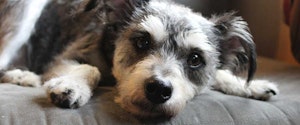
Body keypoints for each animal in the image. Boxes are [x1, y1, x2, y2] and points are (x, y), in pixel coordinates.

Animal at [0, 0, 278, 117]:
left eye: (195, 59)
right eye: (142, 41)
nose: (158, 89)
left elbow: (219, 73)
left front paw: (249, 85)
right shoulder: (68, 56)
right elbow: (90, 68)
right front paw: (71, 86)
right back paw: (22, 75)